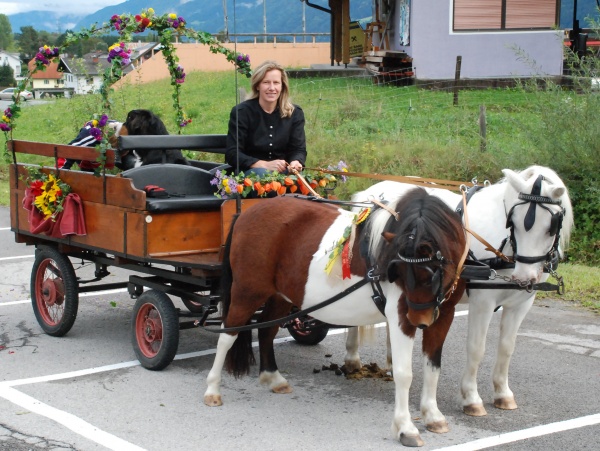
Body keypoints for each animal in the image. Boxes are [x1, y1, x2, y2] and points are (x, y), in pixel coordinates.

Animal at [204, 189, 466, 446]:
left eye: (431, 273)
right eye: (396, 270)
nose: (420, 319)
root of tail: (246, 214)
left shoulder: (444, 315)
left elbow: (433, 367)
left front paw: (433, 416)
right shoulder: (400, 316)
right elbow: (404, 373)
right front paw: (405, 428)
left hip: (281, 295)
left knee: (266, 329)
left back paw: (273, 378)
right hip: (247, 292)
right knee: (227, 335)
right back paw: (213, 389)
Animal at [346, 166, 572, 428]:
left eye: (551, 226)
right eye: (513, 221)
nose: (524, 277)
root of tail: (370, 192)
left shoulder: (522, 303)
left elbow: (507, 347)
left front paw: (502, 393)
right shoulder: (482, 301)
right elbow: (476, 348)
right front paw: (471, 398)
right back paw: (352, 357)